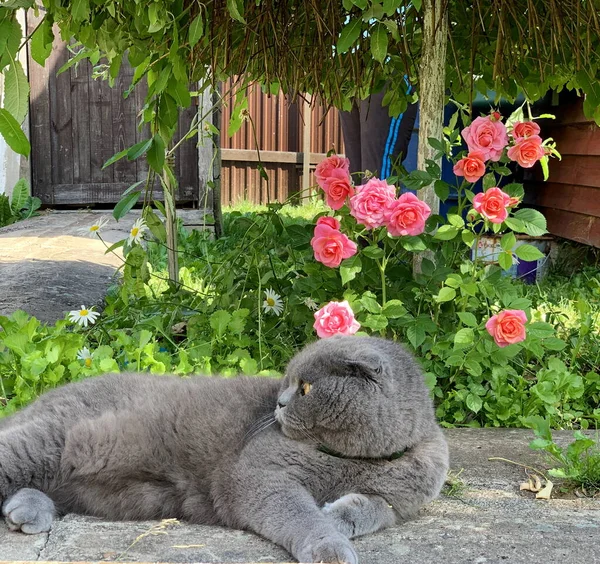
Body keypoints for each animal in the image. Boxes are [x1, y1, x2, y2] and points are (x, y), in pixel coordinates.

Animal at [0, 338, 448, 560]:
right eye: (287, 381)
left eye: (305, 388)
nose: (279, 404)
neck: (355, 460)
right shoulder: (257, 475)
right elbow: (300, 513)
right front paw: (329, 545)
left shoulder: (407, 500)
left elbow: (378, 508)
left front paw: (338, 516)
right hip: (50, 440)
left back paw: (27, 512)